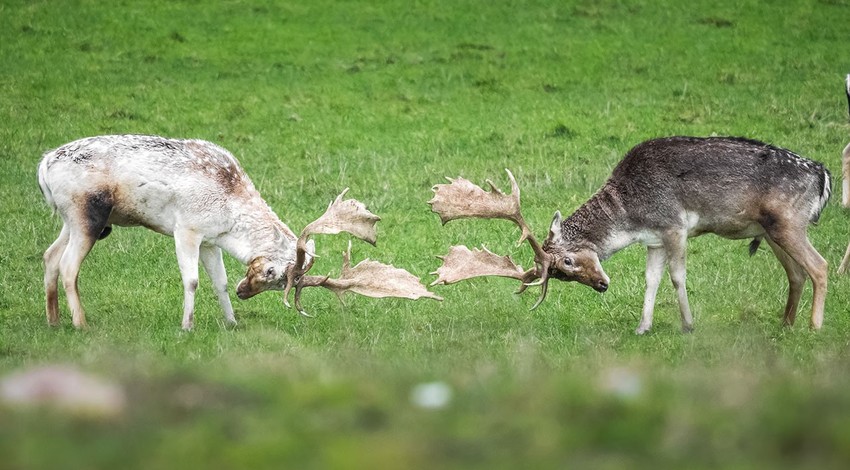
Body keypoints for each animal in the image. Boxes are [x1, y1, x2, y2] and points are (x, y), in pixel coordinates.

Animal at [38, 134, 438, 328]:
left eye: (277, 284)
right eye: (275, 274)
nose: (247, 293)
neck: (229, 206)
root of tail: (42, 166)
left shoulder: (211, 241)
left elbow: (218, 281)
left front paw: (231, 323)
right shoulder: (186, 228)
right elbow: (192, 281)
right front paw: (187, 326)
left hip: (70, 219)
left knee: (49, 256)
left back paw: (54, 321)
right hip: (87, 213)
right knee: (70, 266)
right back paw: (81, 324)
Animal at [430, 136, 828, 334]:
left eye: (568, 261)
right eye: (562, 275)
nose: (601, 285)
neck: (631, 218)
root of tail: (822, 176)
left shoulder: (675, 225)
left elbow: (677, 276)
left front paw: (688, 325)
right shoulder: (654, 239)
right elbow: (651, 280)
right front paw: (643, 327)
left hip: (789, 222)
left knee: (820, 266)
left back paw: (814, 327)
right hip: (772, 230)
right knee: (797, 274)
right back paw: (786, 324)